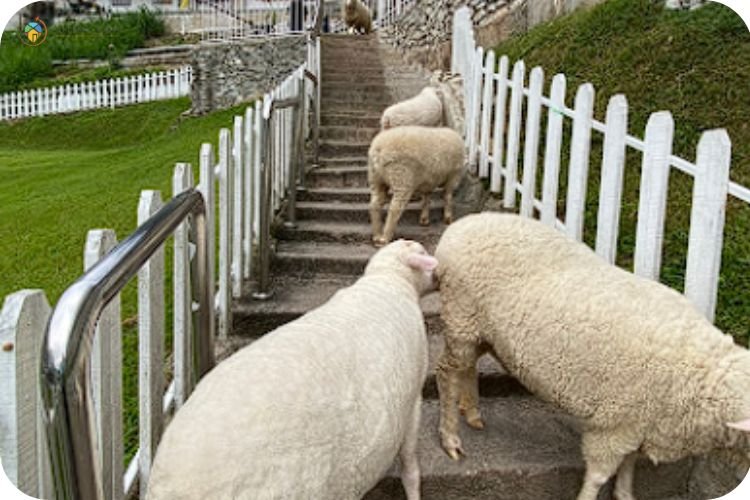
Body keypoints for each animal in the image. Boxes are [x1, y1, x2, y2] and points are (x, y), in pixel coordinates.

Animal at [146, 239, 438, 500]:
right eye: (423, 252)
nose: (440, 273)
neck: (389, 280)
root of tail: (170, 487)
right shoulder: (413, 398)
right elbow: (410, 467)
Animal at [433, 212, 750, 500]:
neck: (705, 375)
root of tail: (460, 227)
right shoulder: (613, 425)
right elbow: (599, 476)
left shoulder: (637, 423)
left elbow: (629, 463)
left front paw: (625, 494)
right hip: (461, 314)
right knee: (447, 372)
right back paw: (450, 438)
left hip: (481, 329)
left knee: (468, 366)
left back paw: (472, 411)